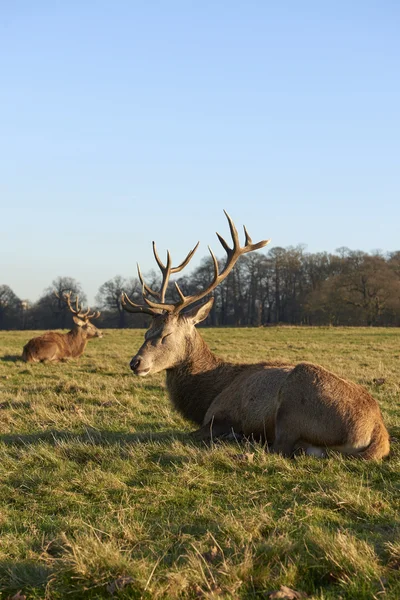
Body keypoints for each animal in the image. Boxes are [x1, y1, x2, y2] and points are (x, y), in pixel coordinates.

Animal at [122, 211, 390, 460]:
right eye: (147, 331)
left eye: (166, 334)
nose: (135, 363)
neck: (209, 393)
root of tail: (377, 432)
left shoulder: (219, 415)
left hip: (292, 405)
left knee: (280, 448)